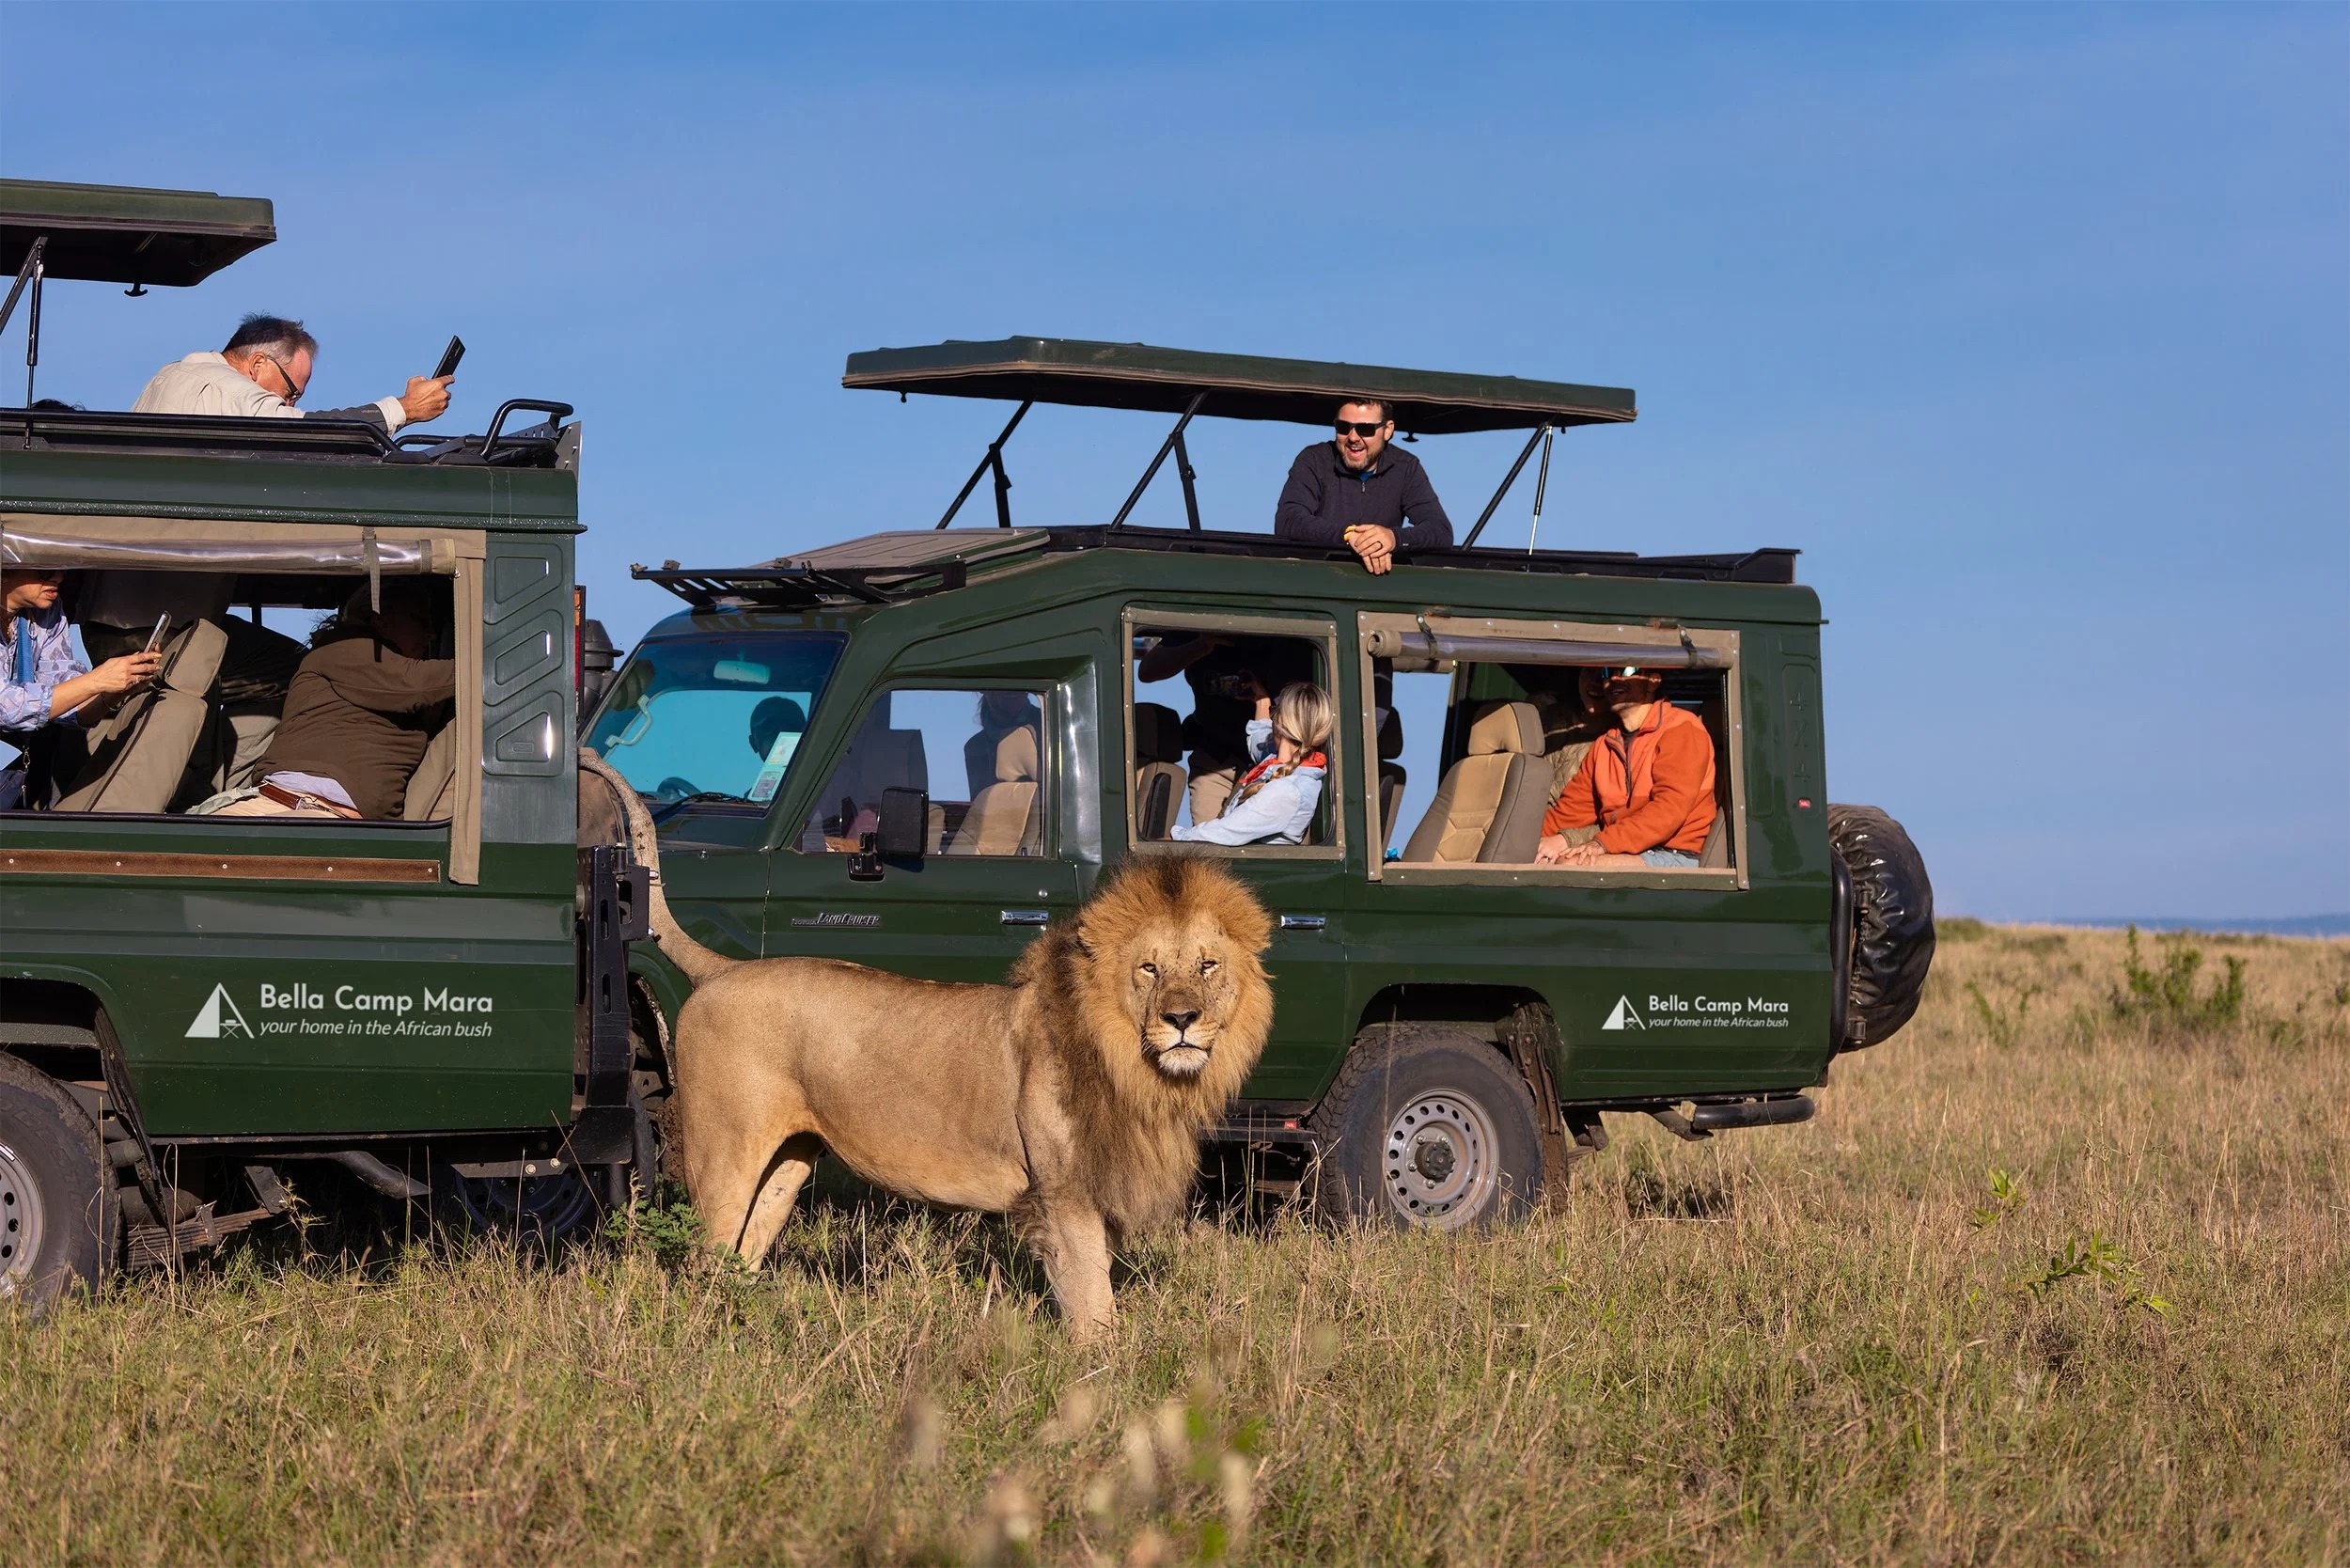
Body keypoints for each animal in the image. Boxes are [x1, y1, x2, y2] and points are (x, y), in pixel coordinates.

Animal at [583, 753, 1274, 1340]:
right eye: (1149, 969)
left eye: (1208, 966)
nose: (1181, 1019)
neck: (1135, 1067)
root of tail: (721, 969)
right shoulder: (1063, 1192)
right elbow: (1091, 1305)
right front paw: (1099, 1380)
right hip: (722, 1151)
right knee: (705, 1257)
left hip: (789, 1161)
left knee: (742, 1256)